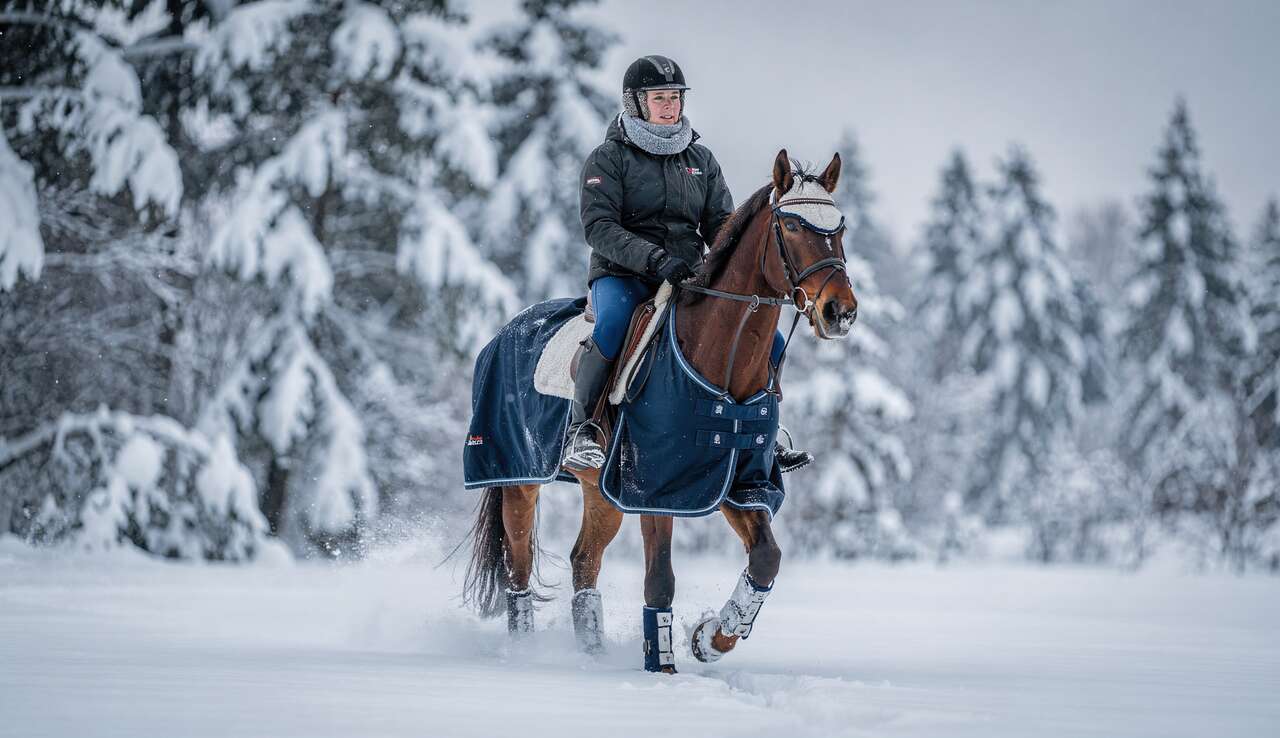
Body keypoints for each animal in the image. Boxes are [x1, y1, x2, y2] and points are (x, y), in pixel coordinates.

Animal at [461, 148, 858, 673]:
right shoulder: (654, 486)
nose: (840, 312)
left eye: (840, 226)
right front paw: (663, 666)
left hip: (601, 492)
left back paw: (592, 653)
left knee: (583, 561)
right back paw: (525, 651)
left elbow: (765, 559)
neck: (721, 361)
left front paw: (711, 637)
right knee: (519, 567)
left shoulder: (736, 481)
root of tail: (504, 333)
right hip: (518, 480)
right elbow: (660, 578)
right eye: (791, 225)